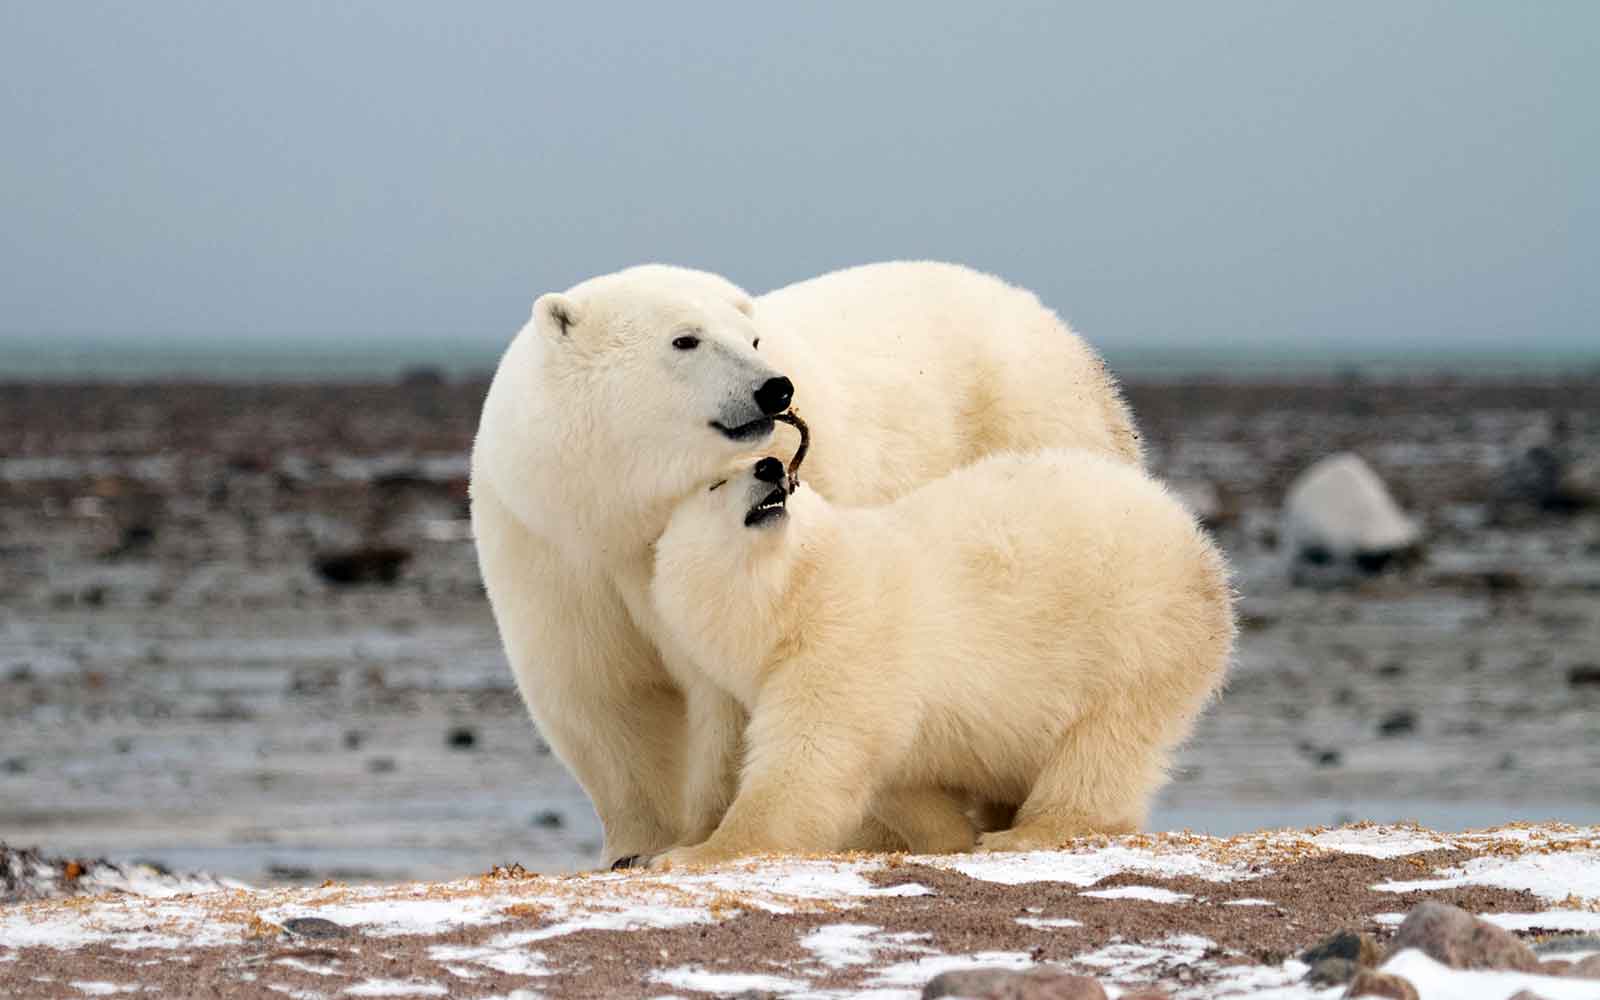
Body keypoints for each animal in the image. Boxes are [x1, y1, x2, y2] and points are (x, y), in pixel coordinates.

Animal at [469, 261, 1144, 867]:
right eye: (686, 338)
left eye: (753, 338)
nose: (776, 389)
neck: (623, 511)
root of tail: (1051, 323)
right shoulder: (553, 548)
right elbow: (601, 691)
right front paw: (635, 847)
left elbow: (729, 698)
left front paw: (702, 833)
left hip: (1032, 440)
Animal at [646, 448, 1235, 867]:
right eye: (715, 484)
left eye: (794, 477)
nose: (771, 467)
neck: (799, 595)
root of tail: (1193, 536)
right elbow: (891, 775)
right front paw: (949, 833)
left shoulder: (847, 638)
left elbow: (811, 756)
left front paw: (691, 852)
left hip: (1135, 635)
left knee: (1101, 746)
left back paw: (1027, 831)